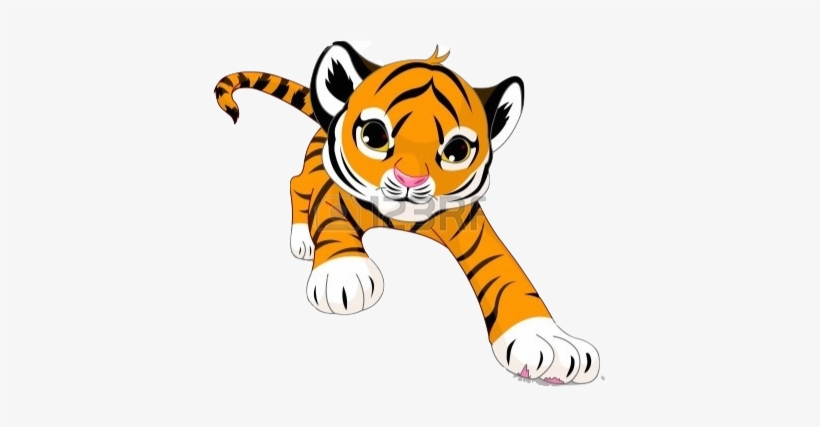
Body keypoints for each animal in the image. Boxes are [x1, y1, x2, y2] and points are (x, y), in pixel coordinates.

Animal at [214, 42, 600, 384]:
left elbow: (509, 278)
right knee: (295, 184)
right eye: (374, 135)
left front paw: (548, 341)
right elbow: (334, 228)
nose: (410, 179)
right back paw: (303, 241)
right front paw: (344, 275)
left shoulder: (475, 230)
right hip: (312, 170)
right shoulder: (332, 196)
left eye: (457, 150)